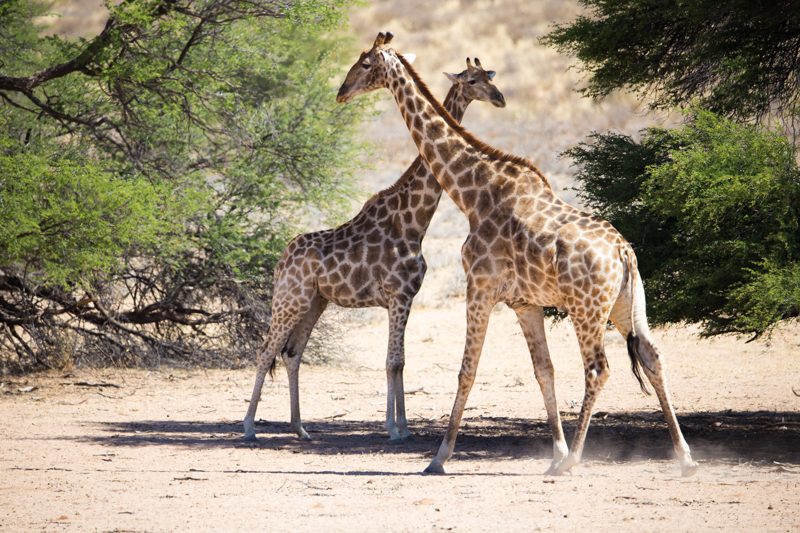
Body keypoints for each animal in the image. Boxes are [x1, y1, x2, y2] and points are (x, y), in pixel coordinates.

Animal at [244, 56, 506, 442]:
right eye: (472, 80)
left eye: (490, 76)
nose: (500, 98)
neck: (415, 221)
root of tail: (281, 261)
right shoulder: (398, 295)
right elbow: (393, 361)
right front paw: (394, 429)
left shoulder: (404, 298)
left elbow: (400, 361)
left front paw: (403, 427)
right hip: (289, 300)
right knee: (266, 351)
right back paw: (248, 426)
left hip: (314, 302)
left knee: (293, 354)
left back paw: (300, 428)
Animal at [334, 31, 696, 476]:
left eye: (366, 63)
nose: (341, 91)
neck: (472, 194)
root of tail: (623, 252)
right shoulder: (525, 302)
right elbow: (544, 371)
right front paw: (553, 450)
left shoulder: (479, 289)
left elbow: (466, 371)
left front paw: (439, 457)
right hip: (627, 304)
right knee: (652, 356)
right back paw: (685, 457)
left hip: (586, 309)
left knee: (598, 368)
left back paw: (574, 460)